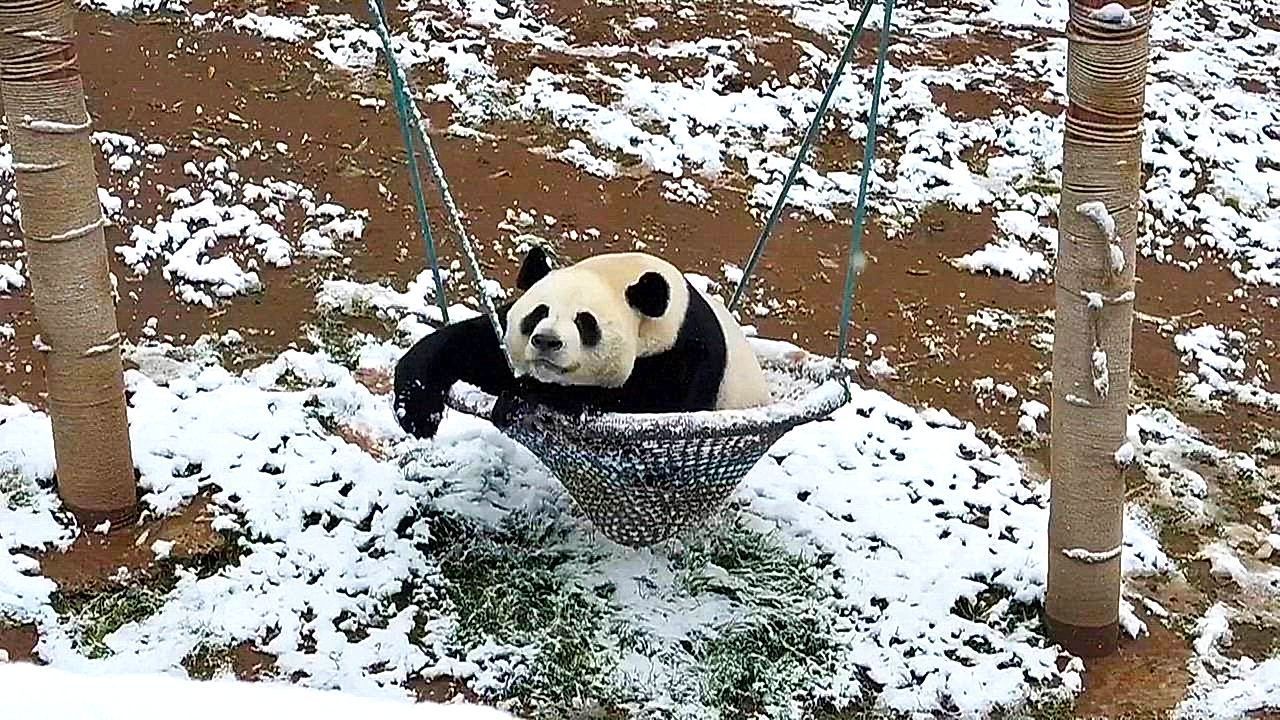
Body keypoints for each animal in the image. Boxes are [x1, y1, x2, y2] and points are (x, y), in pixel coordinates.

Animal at [392, 246, 771, 439]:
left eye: (585, 323)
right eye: (538, 313)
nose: (546, 341)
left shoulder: (687, 354)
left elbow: (652, 404)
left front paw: (527, 397)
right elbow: (472, 346)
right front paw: (417, 410)